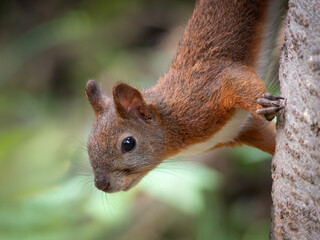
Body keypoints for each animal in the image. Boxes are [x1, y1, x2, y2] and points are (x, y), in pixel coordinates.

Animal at [85, 0, 284, 192]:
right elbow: (267, 137)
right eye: (89, 144)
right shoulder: (240, 130)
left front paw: (263, 103)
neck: (170, 122)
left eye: (128, 144)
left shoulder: (206, 90)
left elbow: (236, 79)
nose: (101, 185)